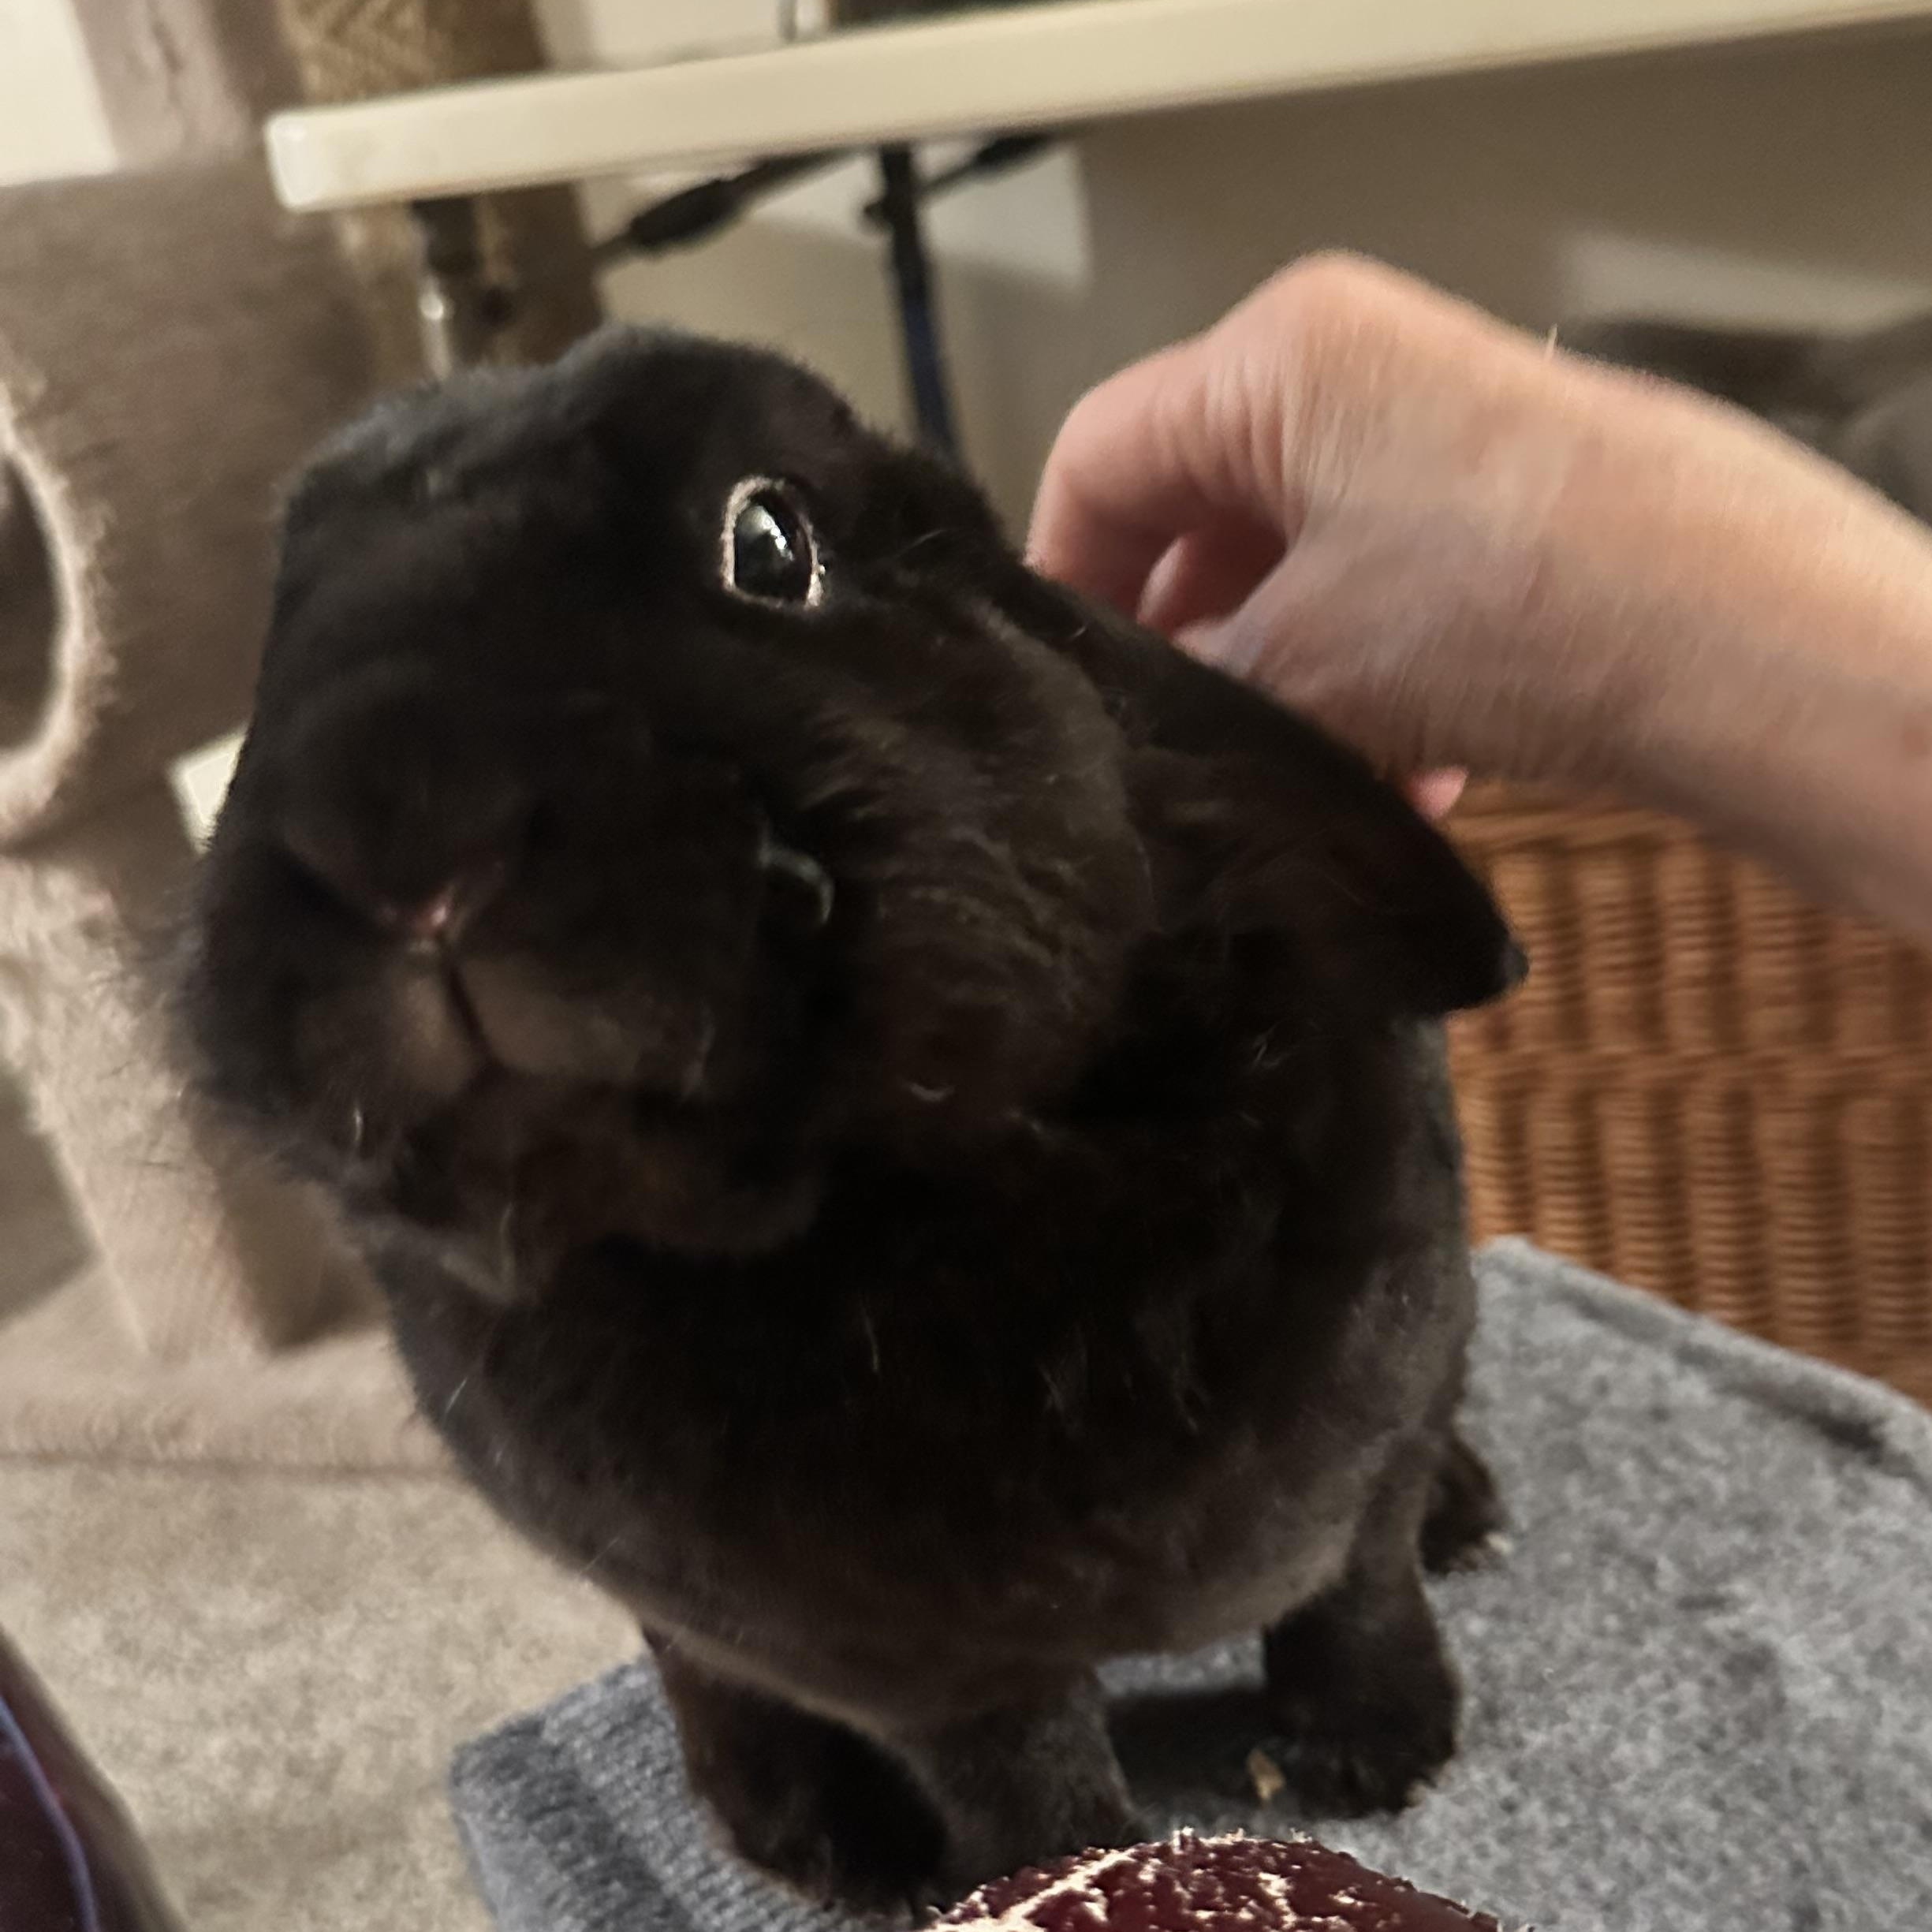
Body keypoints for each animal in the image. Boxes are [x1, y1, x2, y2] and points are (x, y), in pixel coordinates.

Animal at [178, 325, 1523, 1917]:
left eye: (769, 542)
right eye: (283, 623)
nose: (392, 829)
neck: (924, 1222)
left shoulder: (1380, 1417)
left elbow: (1358, 1583)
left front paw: (1387, 1751)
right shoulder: (919, 1668)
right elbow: (1012, 1765)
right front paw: (1060, 1865)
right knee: (697, 1673)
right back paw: (814, 1835)